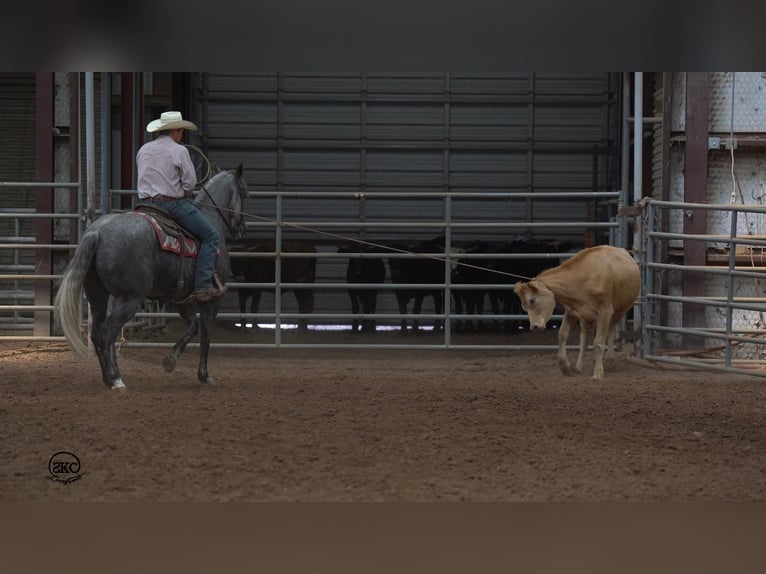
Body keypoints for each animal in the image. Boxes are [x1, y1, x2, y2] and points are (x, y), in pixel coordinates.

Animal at [55, 166, 248, 392]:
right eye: (245, 194)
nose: (242, 229)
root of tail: (96, 232)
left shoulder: (181, 299)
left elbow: (193, 327)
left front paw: (170, 361)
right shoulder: (213, 298)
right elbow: (206, 334)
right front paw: (205, 376)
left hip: (98, 295)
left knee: (96, 333)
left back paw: (107, 379)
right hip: (129, 299)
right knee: (108, 332)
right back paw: (116, 379)